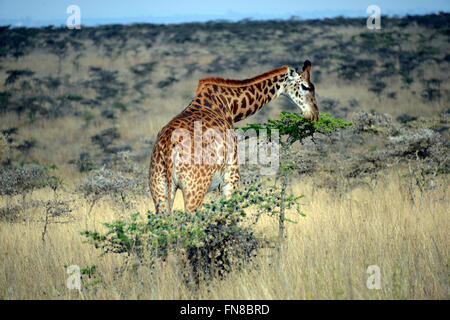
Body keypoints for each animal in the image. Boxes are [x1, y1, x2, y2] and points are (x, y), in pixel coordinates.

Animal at [149, 60, 318, 215]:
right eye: (305, 87)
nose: (314, 115)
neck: (231, 106)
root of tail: (168, 148)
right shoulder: (232, 175)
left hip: (159, 189)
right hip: (194, 189)